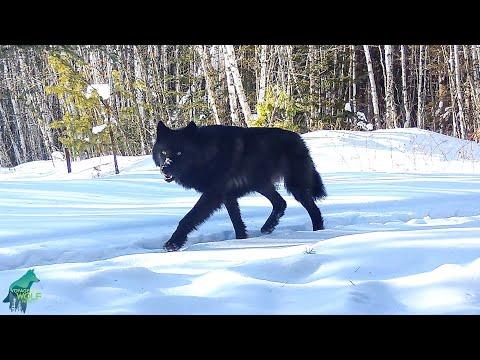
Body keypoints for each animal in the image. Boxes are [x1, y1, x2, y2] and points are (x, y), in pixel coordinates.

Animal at [154, 121, 326, 250]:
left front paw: (173, 243)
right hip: (261, 185)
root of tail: (299, 138)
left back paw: (318, 233)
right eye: (163, 152)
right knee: (281, 203)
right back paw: (268, 227)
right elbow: (237, 222)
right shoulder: (228, 196)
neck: (208, 155)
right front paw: (240, 241)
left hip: (294, 187)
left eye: (179, 153)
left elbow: (188, 218)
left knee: (314, 210)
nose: (165, 168)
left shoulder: (213, 195)